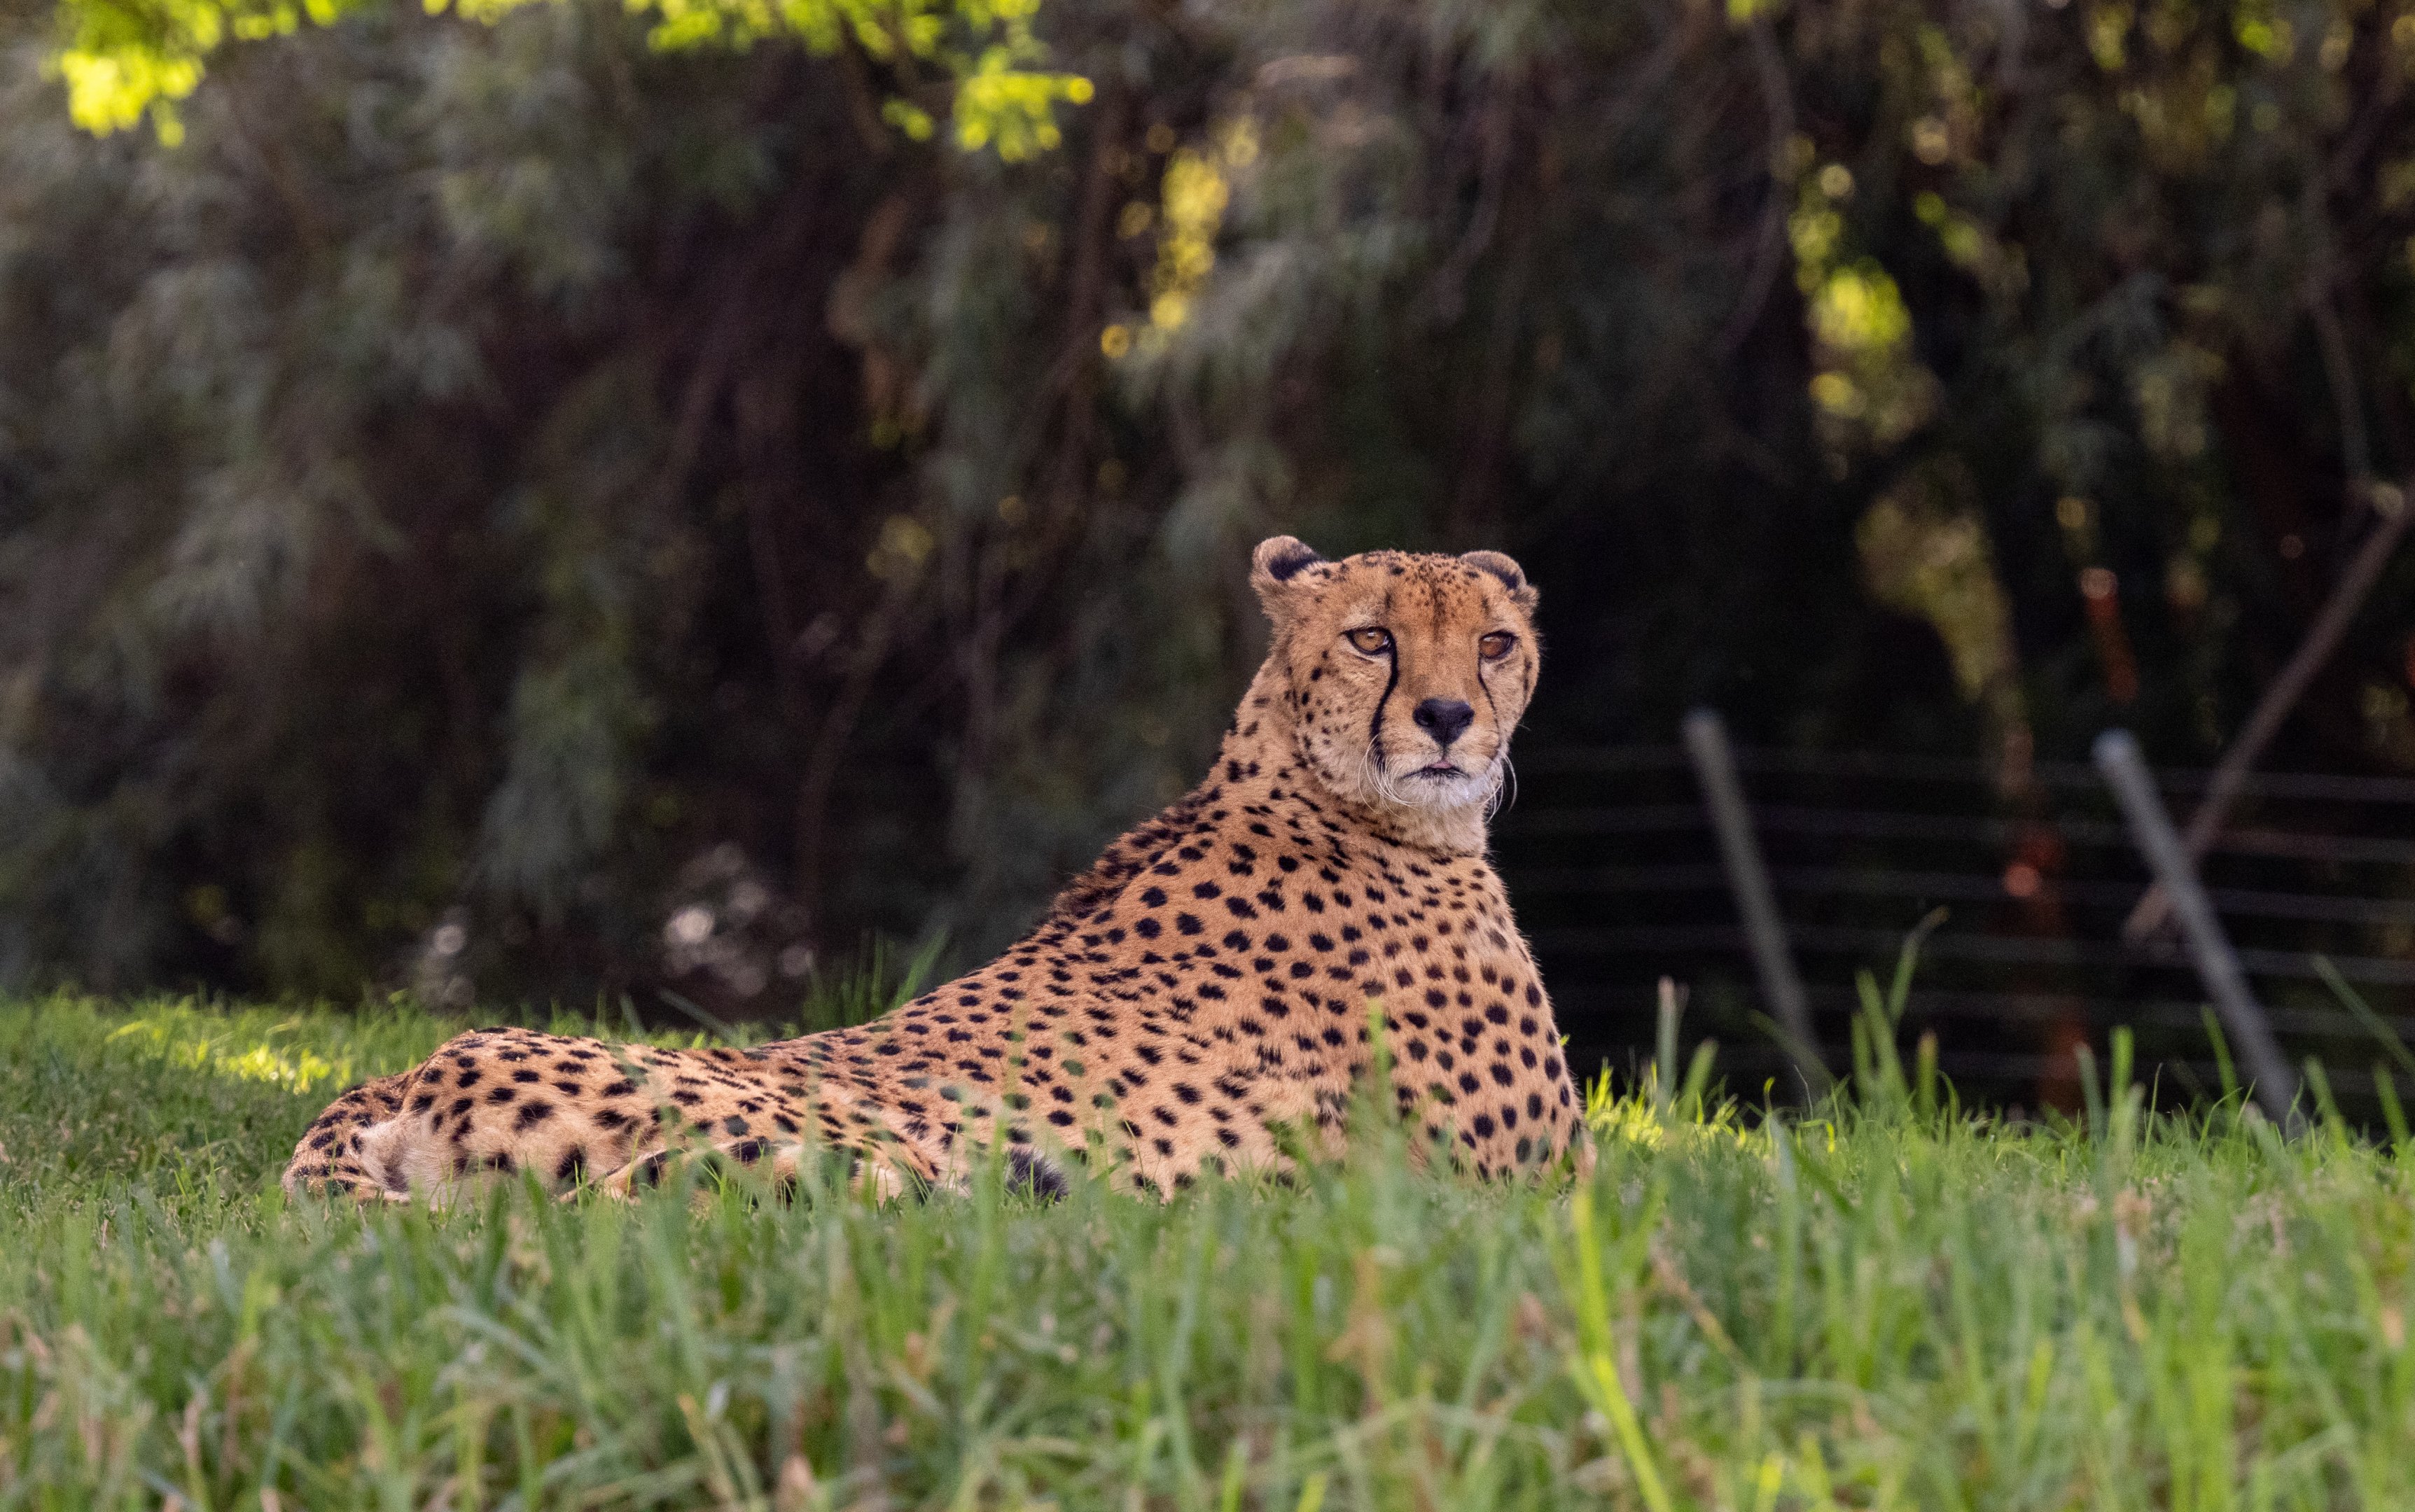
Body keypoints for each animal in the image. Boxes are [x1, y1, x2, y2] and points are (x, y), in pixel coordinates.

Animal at [283, 536, 1590, 1202]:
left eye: (1493, 643)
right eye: (1371, 637)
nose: (1443, 720)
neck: (1315, 785)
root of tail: (418, 1068)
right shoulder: (1529, 1188)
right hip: (844, 1144)